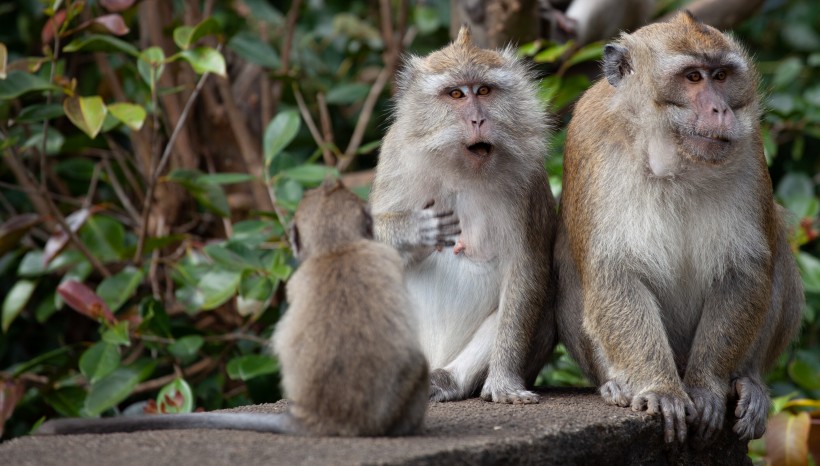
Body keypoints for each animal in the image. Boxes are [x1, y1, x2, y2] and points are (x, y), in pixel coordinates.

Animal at [370, 26, 556, 404]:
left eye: (483, 90)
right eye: (456, 94)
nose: (478, 119)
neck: (460, 169)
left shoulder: (528, 176)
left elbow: (525, 268)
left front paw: (503, 382)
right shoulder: (395, 154)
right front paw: (413, 230)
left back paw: (445, 380)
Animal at [556, 11, 804, 444]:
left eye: (720, 75)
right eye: (692, 77)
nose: (720, 110)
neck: (675, 156)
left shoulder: (750, 148)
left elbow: (743, 269)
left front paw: (706, 387)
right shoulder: (594, 142)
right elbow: (614, 273)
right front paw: (661, 388)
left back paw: (748, 382)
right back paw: (618, 384)